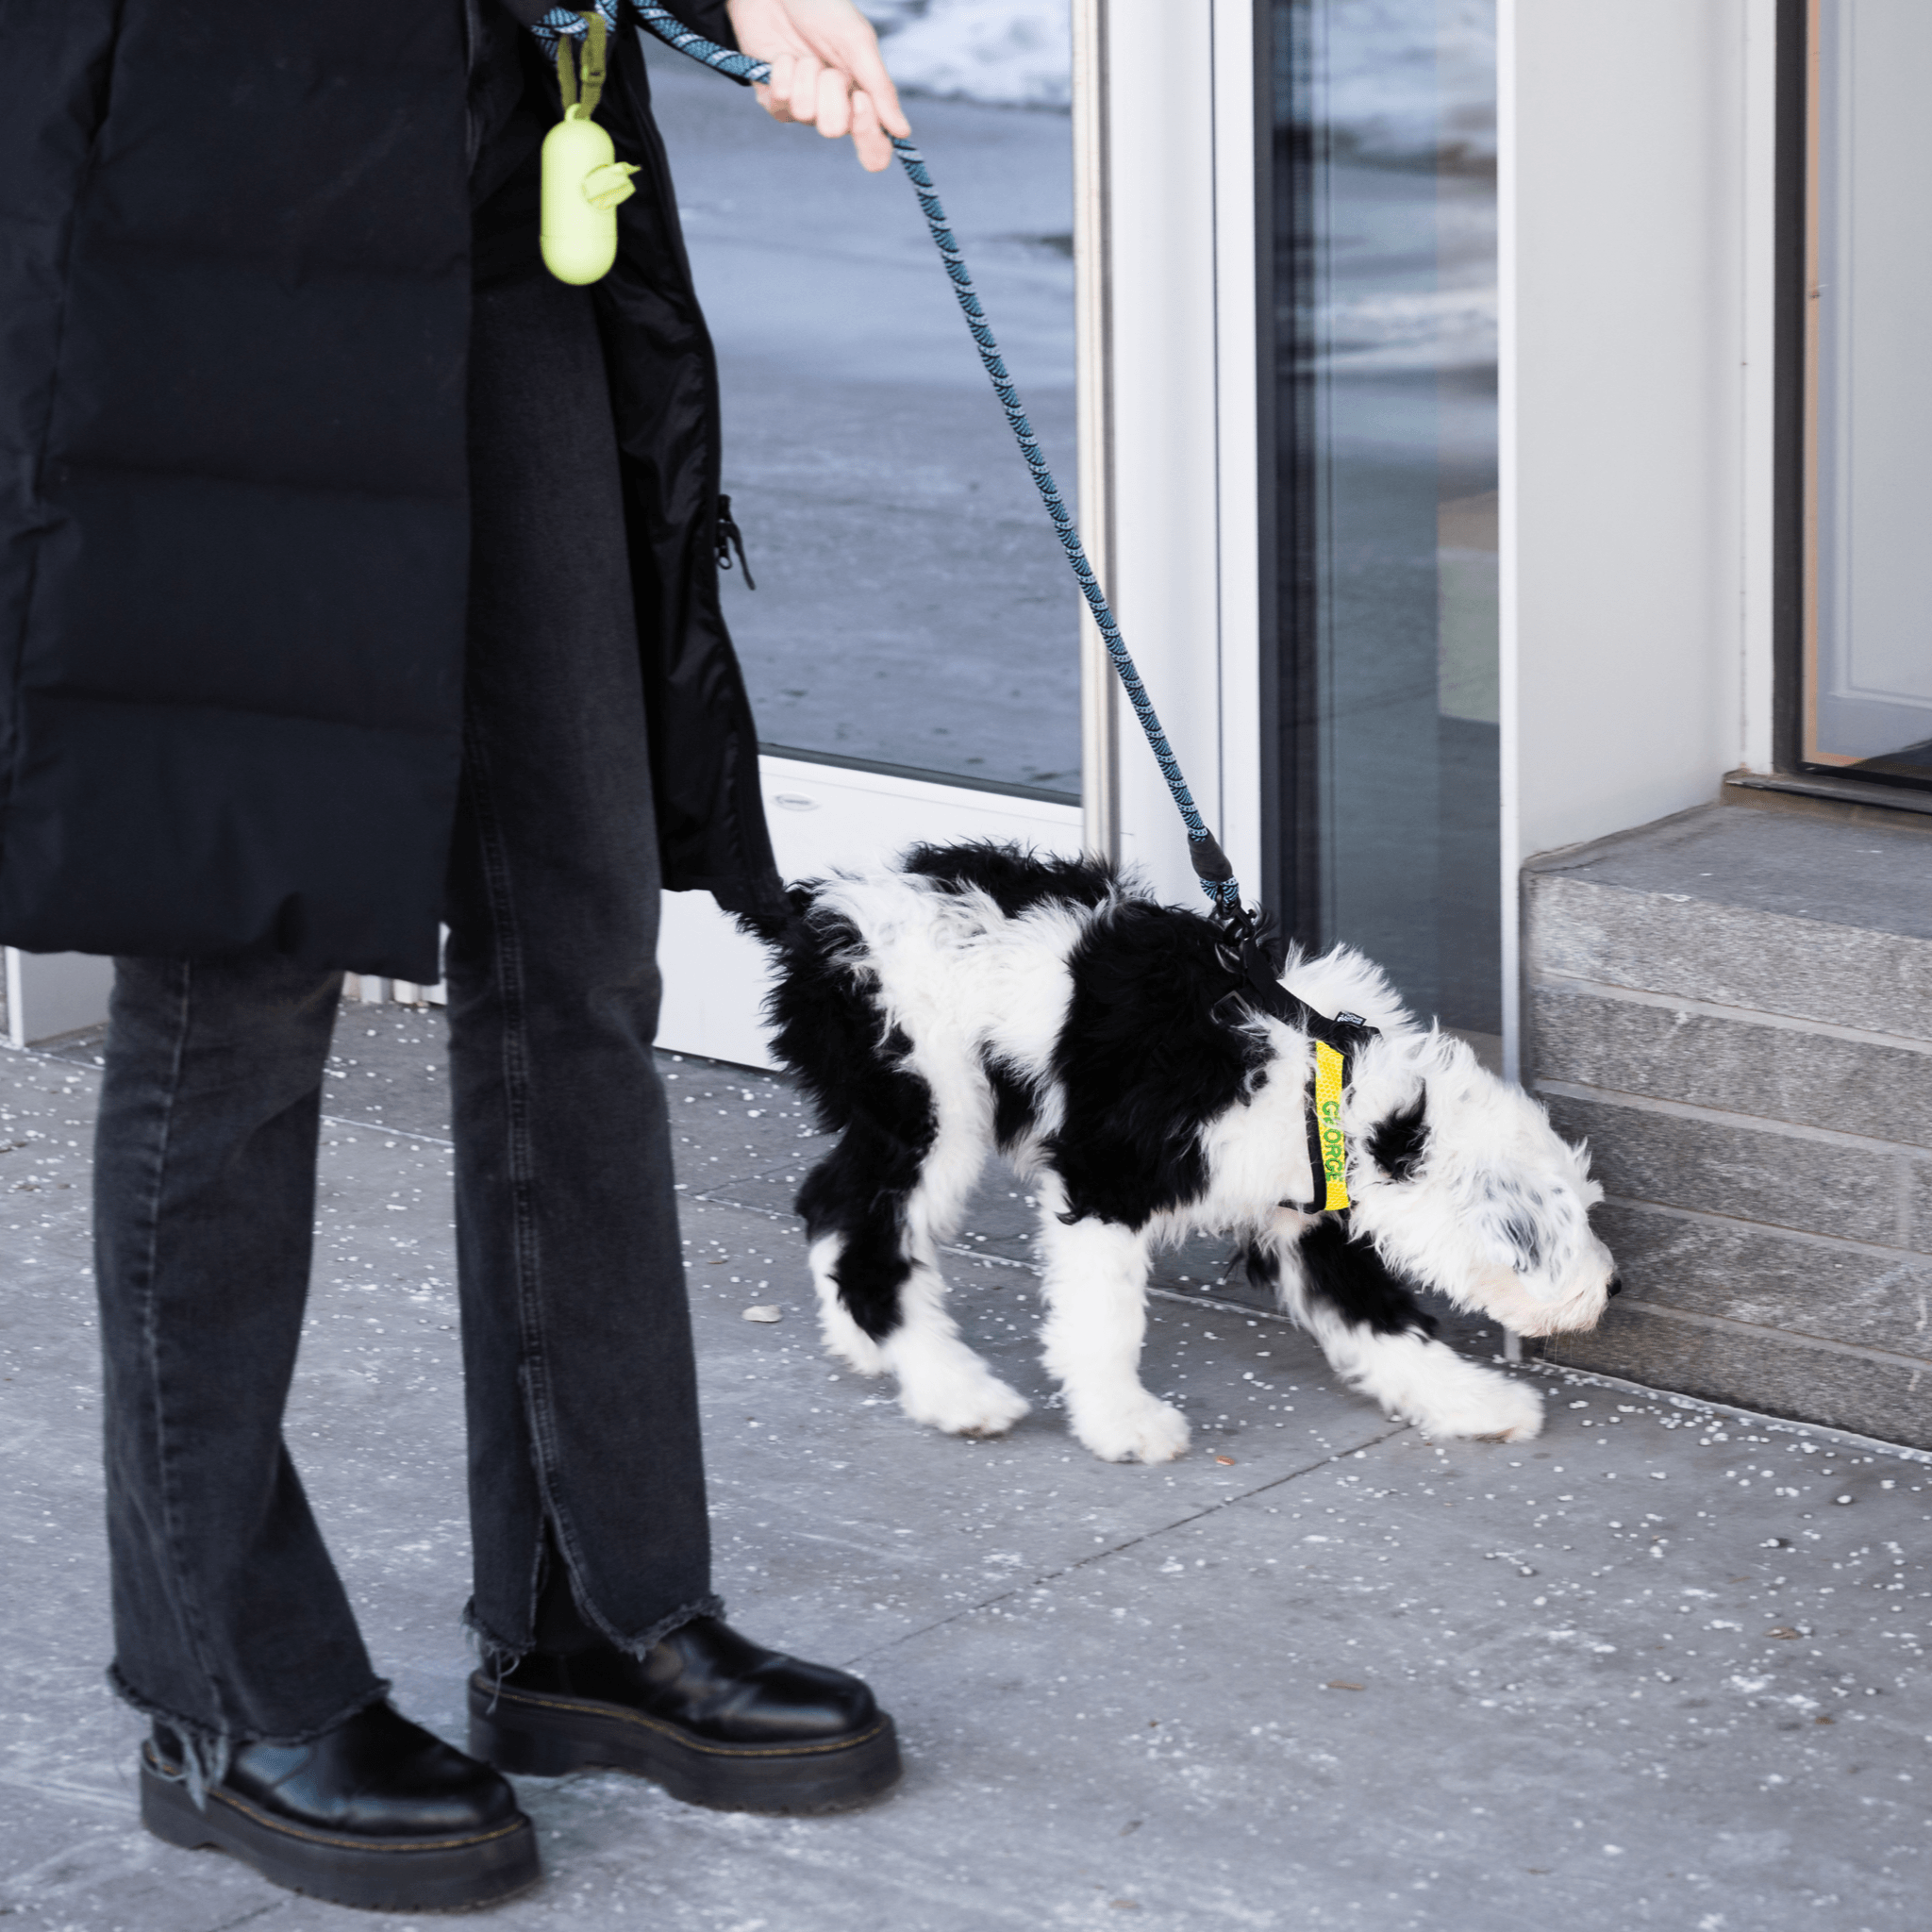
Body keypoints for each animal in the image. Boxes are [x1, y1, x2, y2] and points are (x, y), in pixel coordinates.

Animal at [753, 846, 1615, 1460]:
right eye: (1559, 1229)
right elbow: (1102, 1318)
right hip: (932, 1102)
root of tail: (818, 909)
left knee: (832, 1203)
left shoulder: (1308, 1217)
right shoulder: (1106, 1185)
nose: (1611, 1286)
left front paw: (1472, 1401)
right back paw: (954, 1392)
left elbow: (1383, 1323)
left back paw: (870, 1349)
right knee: (865, 1237)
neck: (1325, 1083)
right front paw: (1123, 1424)